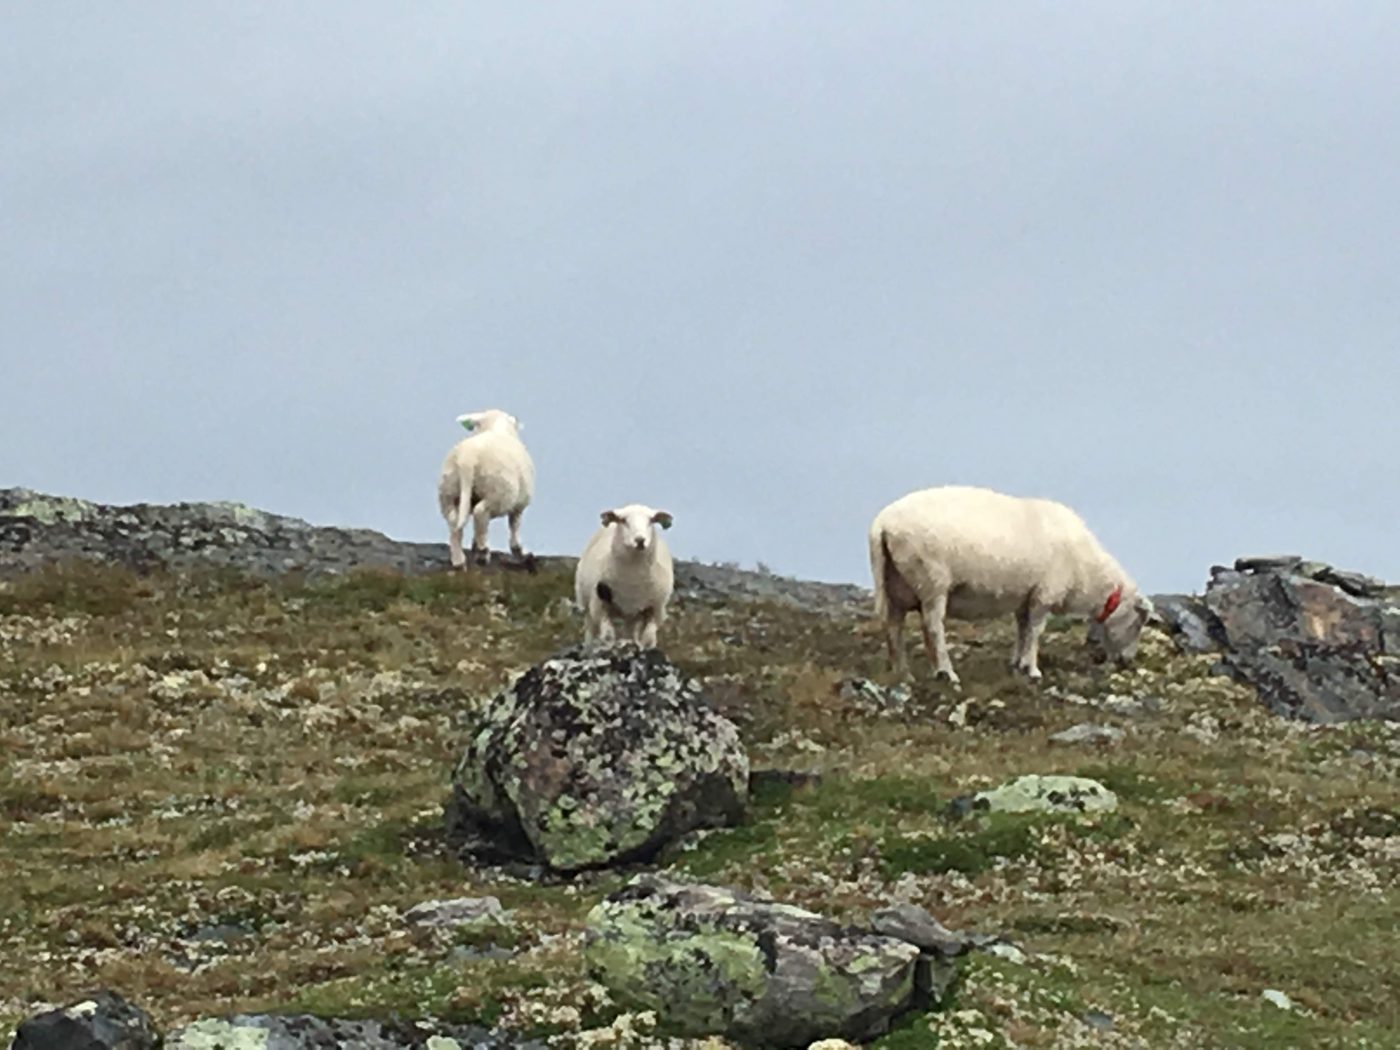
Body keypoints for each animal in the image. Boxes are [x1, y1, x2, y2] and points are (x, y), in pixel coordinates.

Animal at [437, 409, 535, 568]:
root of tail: (467, 458)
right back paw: (483, 553)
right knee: (480, 512)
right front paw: (519, 551)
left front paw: (474, 546)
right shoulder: (520, 504)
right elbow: (514, 525)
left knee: (454, 521)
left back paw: (459, 560)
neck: (495, 426)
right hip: (497, 492)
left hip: (448, 491)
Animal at [574, 504, 675, 648]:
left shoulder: (656, 609)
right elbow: (608, 636)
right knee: (590, 630)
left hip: (633, 616)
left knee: (630, 632)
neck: (632, 580)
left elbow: (648, 639)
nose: (640, 540)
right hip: (586, 604)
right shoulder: (600, 606)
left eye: (651, 520)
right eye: (623, 520)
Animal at [867, 485, 1153, 684]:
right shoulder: (1044, 594)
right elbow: (1036, 631)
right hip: (931, 581)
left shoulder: (1025, 597)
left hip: (895, 585)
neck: (1087, 574)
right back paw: (947, 672)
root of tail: (882, 524)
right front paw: (1033, 669)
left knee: (894, 627)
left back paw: (903, 673)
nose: (1127, 662)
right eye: (1139, 622)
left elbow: (1022, 630)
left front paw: (1018, 663)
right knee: (933, 627)